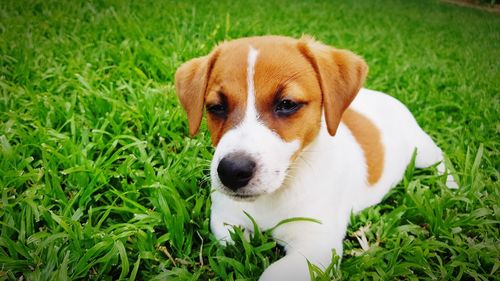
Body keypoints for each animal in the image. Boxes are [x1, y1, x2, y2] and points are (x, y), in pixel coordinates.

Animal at [175, 35, 458, 280]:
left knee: (441, 159)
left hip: (423, 150)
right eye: (216, 107)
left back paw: (451, 187)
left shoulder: (317, 244)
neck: (279, 191)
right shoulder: (225, 220)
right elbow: (232, 241)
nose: (232, 172)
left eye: (287, 104)